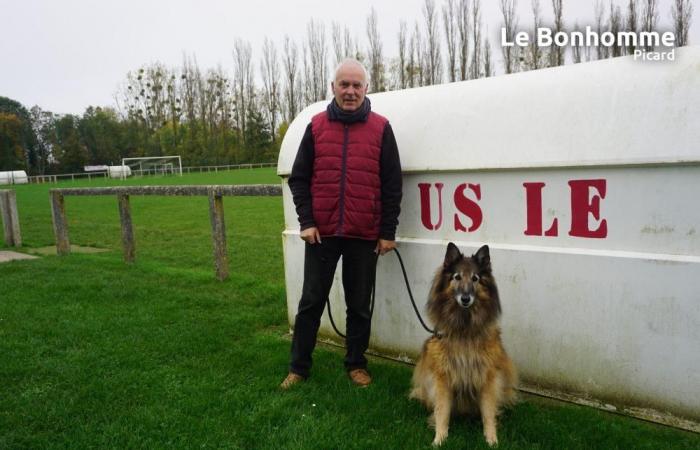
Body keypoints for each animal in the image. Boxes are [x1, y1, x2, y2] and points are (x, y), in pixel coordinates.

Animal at [408, 243, 516, 446]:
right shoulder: (443, 377)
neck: (464, 328)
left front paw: (491, 439)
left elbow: (488, 412)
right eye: (457, 277)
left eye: (475, 278)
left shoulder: (487, 377)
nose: (465, 299)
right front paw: (439, 439)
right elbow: (442, 410)